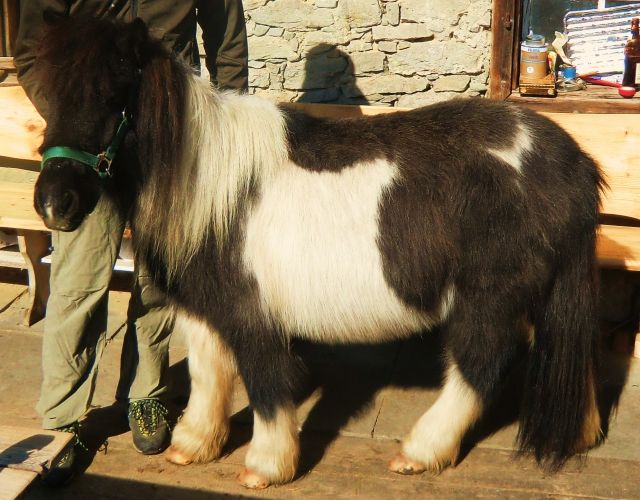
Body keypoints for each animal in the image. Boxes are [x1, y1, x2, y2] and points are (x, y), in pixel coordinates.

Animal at [33, 16, 604, 489]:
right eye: (50, 96)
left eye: (115, 96)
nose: (55, 204)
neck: (213, 187)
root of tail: (568, 161)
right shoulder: (205, 308)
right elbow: (207, 375)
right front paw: (193, 446)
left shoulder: (253, 317)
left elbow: (266, 387)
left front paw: (266, 466)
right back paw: (581, 432)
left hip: (487, 301)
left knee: (479, 369)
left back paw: (420, 452)